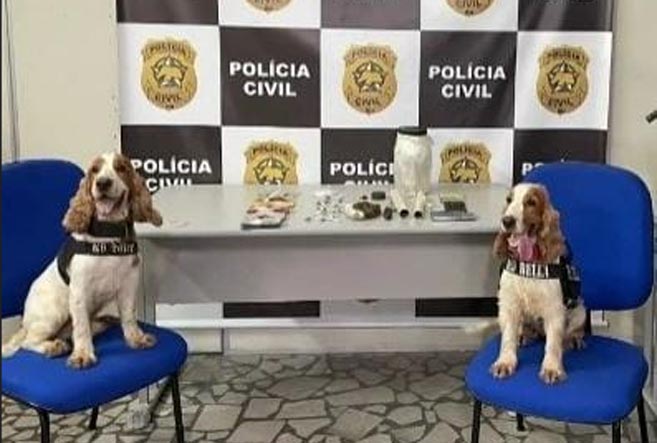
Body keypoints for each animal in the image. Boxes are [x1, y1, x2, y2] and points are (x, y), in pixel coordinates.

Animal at [2, 153, 162, 369]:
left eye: (121, 168)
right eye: (94, 170)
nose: (103, 183)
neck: (107, 235)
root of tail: (23, 323)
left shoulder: (128, 285)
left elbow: (129, 316)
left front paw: (136, 338)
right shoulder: (79, 292)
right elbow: (81, 327)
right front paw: (83, 354)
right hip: (53, 313)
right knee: (28, 341)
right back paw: (53, 346)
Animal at [490, 183, 586, 384]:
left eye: (531, 202)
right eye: (509, 200)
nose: (507, 221)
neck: (529, 263)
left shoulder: (554, 309)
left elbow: (553, 343)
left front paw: (552, 369)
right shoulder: (509, 305)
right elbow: (507, 338)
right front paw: (505, 363)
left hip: (580, 309)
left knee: (573, 330)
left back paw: (574, 340)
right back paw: (523, 335)